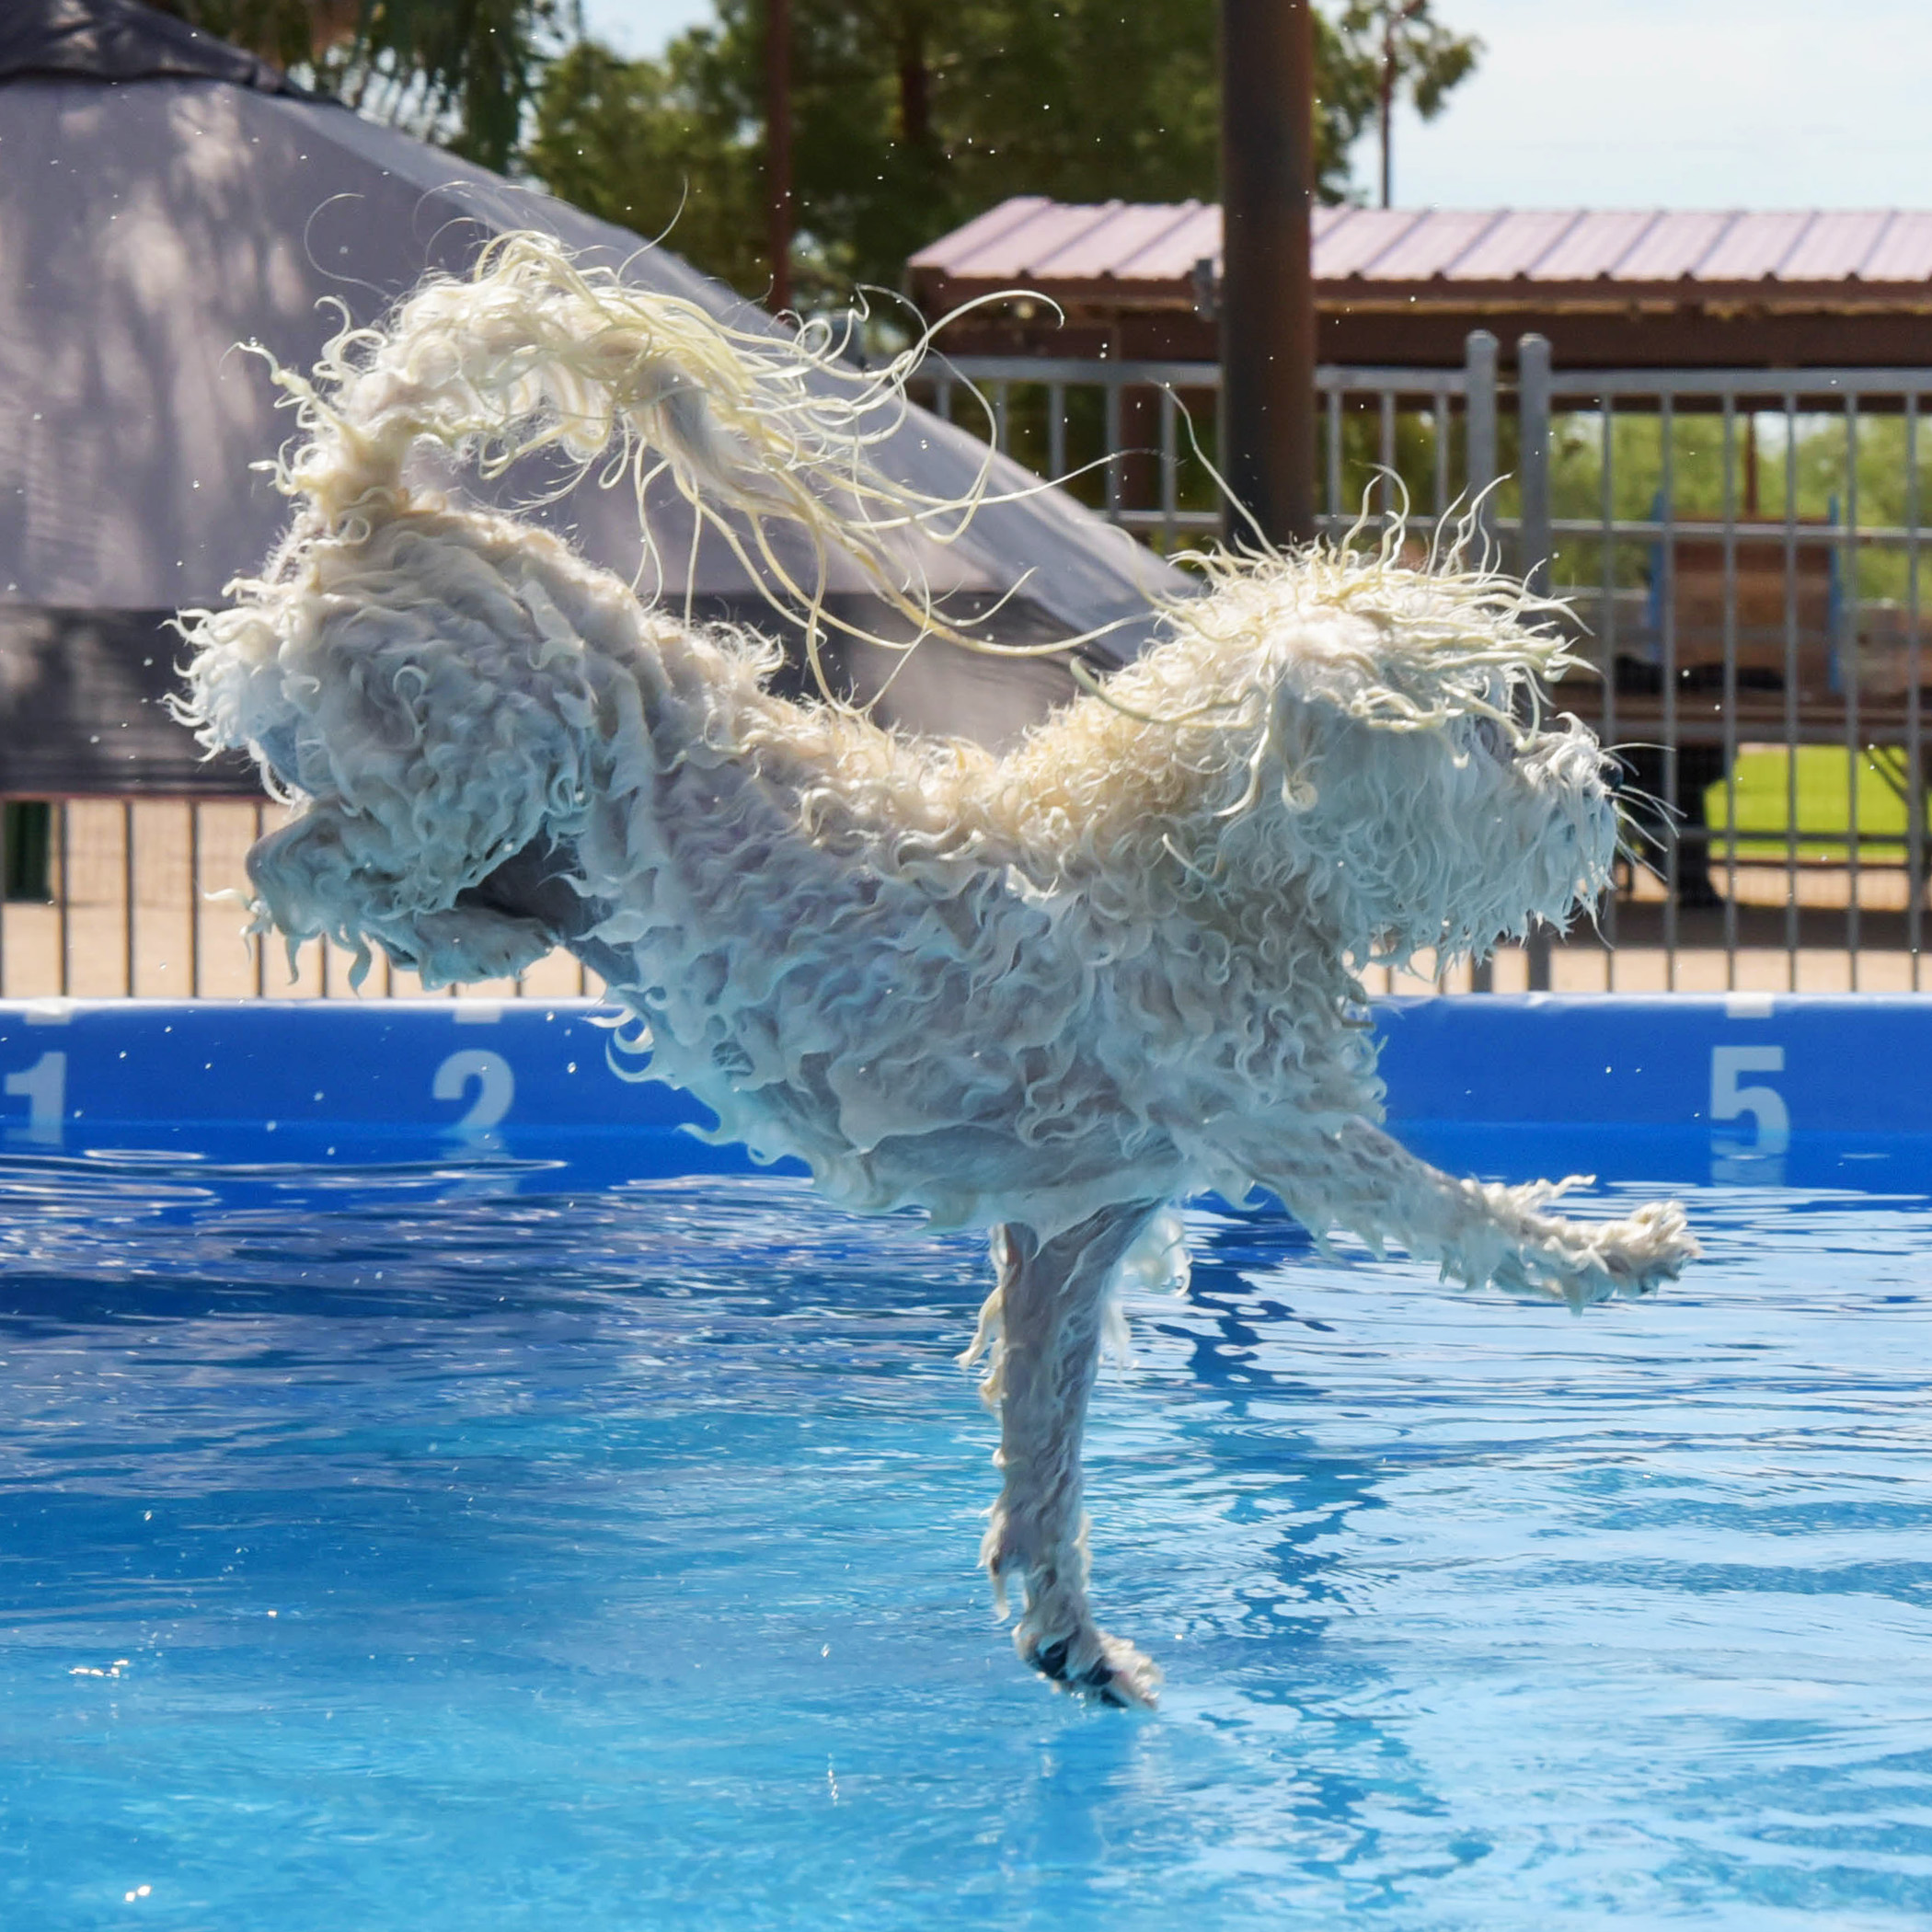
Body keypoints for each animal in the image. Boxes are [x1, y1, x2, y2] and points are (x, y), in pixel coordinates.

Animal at [178, 237, 1692, 1708]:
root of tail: (381, 505)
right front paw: (1617, 1250)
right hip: (487, 744)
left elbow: (1046, 1434)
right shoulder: (1296, 1134)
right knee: (297, 859)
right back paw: (473, 930)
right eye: (1488, 725)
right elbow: (1465, 1220)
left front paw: (1069, 1632)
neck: (1187, 855)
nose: (1602, 782)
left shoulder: (1074, 1227)